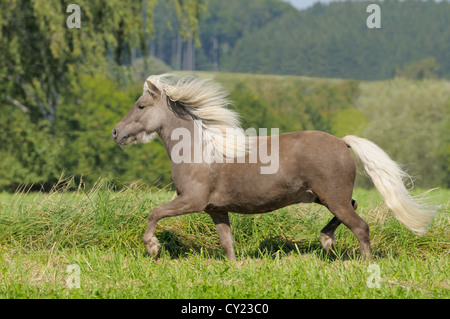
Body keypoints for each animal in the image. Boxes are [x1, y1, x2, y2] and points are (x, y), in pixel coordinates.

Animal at [111, 74, 436, 262]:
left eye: (140, 106)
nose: (115, 133)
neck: (198, 150)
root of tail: (343, 142)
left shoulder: (192, 200)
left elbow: (154, 213)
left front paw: (153, 247)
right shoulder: (216, 209)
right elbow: (227, 242)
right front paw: (235, 267)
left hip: (332, 196)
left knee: (360, 226)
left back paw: (364, 264)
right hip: (324, 196)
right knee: (352, 210)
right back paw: (326, 239)